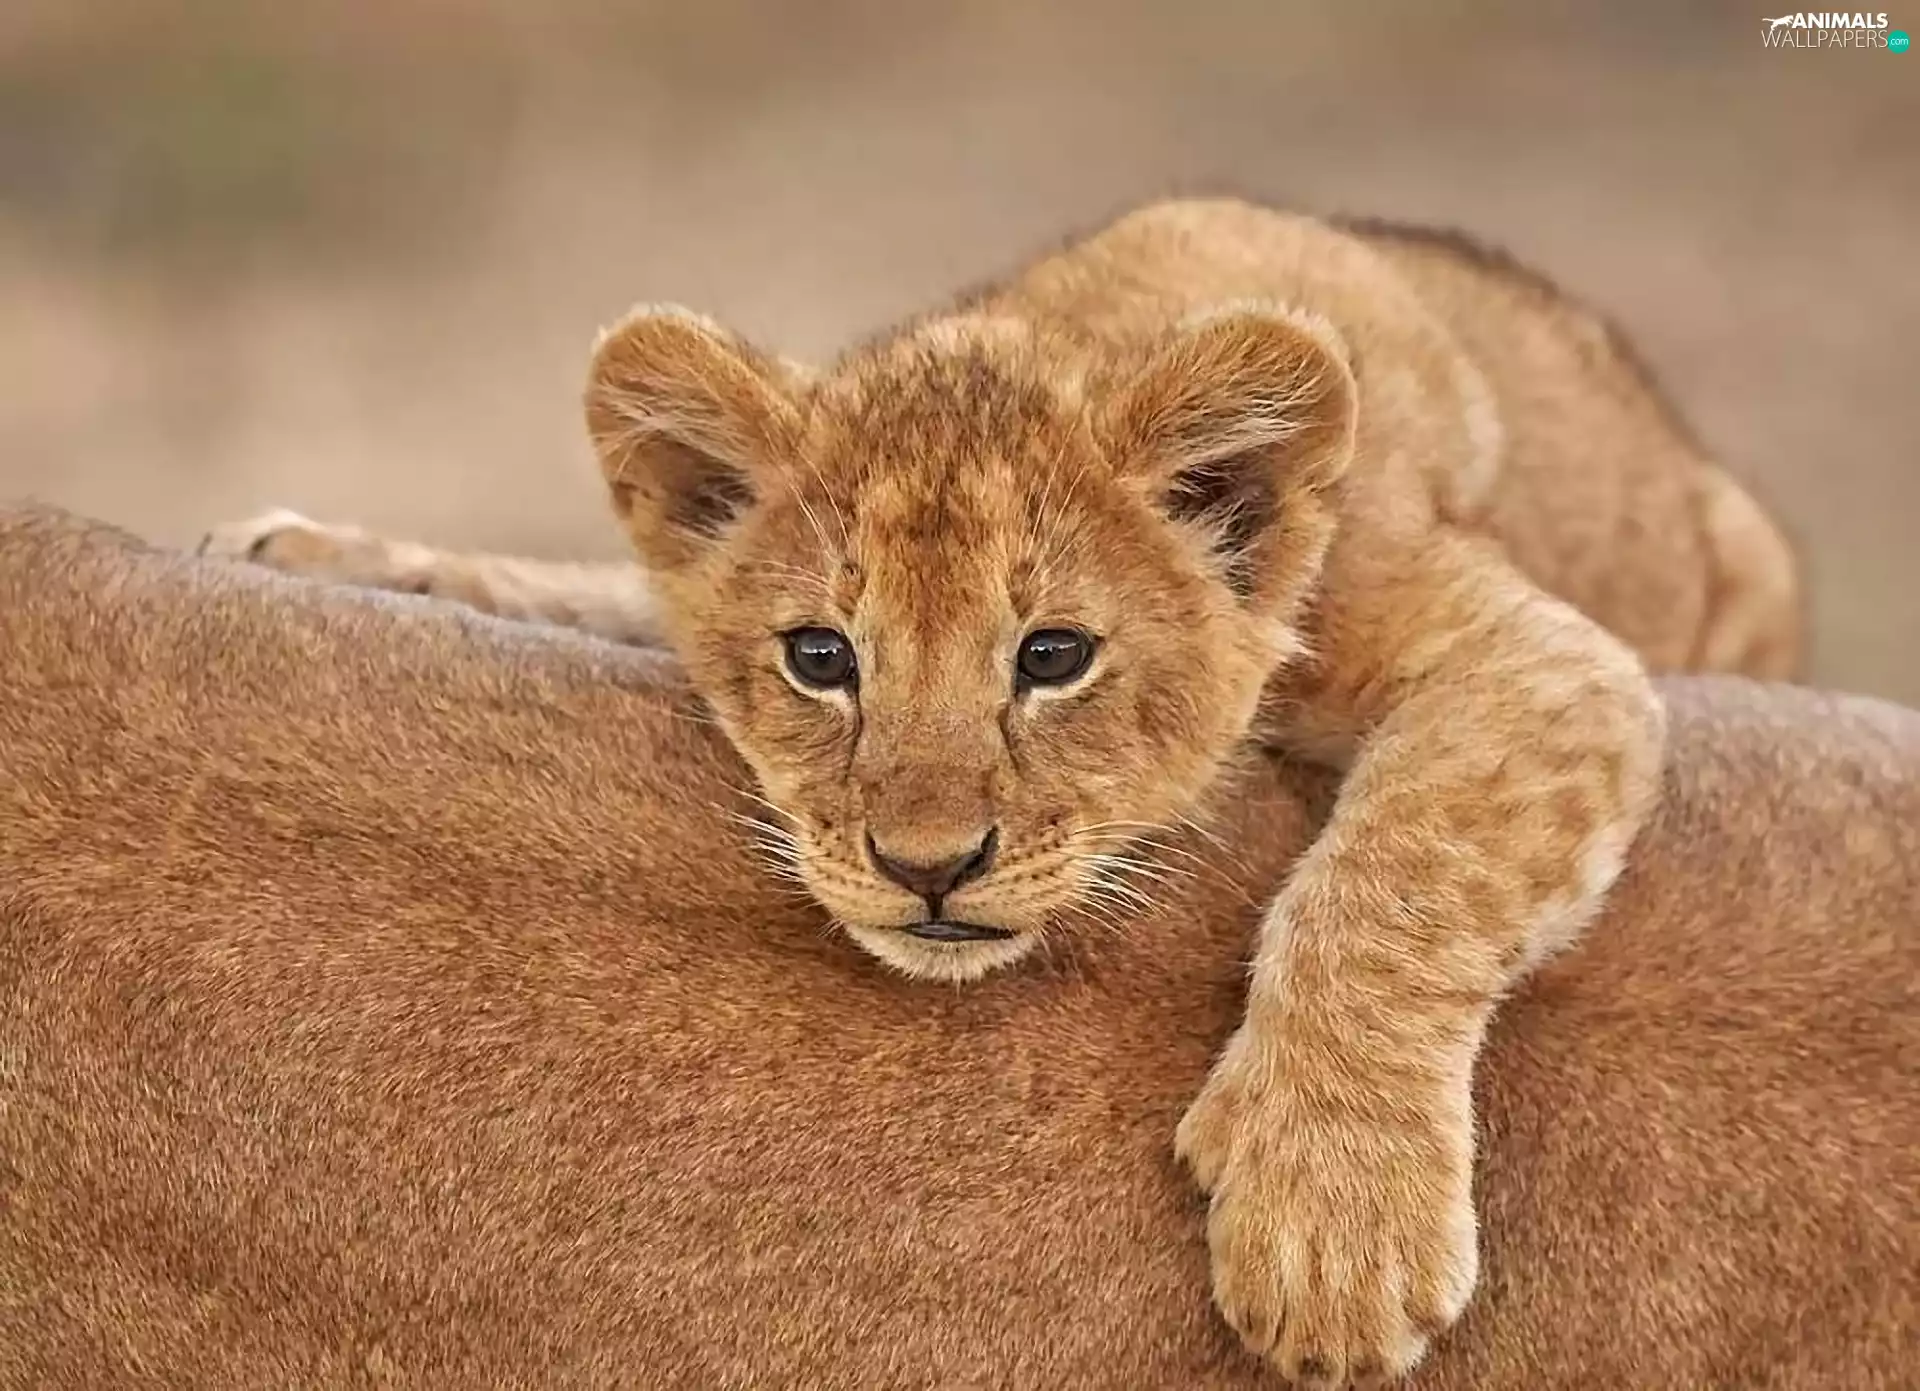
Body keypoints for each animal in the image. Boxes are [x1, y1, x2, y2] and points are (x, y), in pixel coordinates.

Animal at [200, 198, 1801, 1386]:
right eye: (821, 655)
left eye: (1053, 654)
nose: (927, 864)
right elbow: (598, 589)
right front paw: (332, 554)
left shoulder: (1541, 657)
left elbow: (1404, 870)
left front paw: (1332, 1226)